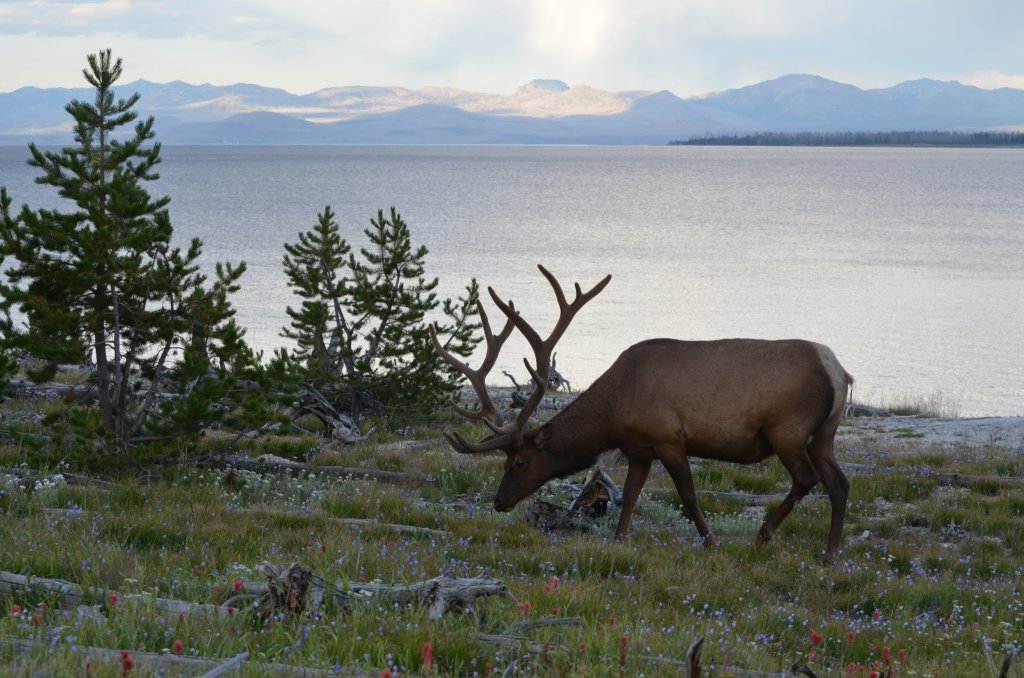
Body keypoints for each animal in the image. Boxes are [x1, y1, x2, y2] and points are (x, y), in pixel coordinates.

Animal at [430, 265, 854, 554]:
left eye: (518, 462)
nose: (498, 502)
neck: (614, 414)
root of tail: (839, 371)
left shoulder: (669, 437)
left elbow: (688, 495)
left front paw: (709, 540)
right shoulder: (639, 449)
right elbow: (631, 495)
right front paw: (620, 539)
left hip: (788, 429)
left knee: (807, 478)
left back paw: (765, 534)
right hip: (824, 434)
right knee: (840, 482)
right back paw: (830, 552)